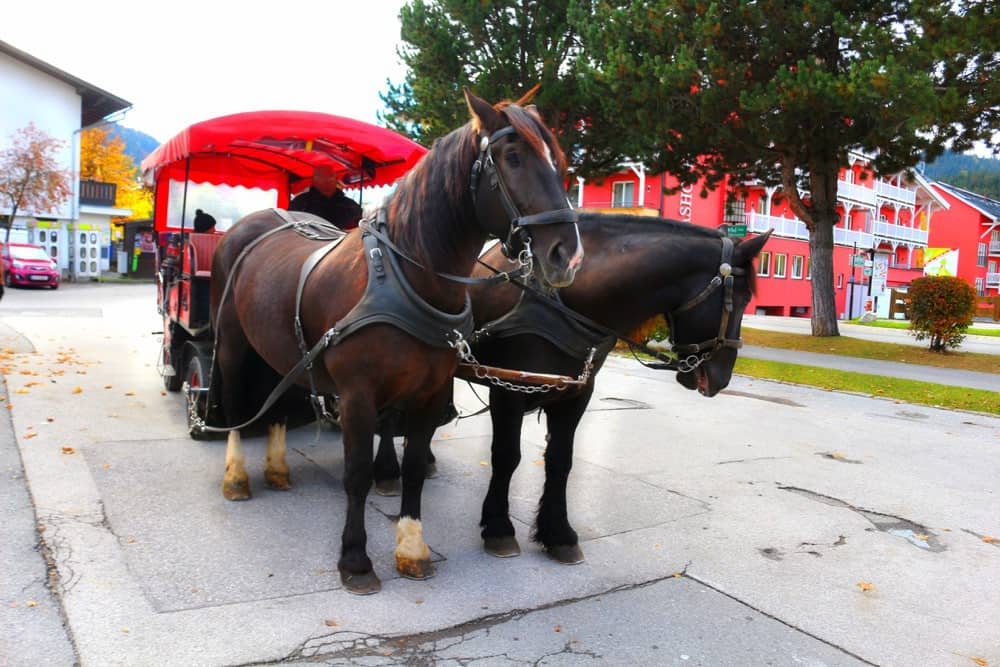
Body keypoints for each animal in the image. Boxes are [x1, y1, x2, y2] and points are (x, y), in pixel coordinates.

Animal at [212, 90, 584, 596]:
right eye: (512, 158)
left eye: (559, 162)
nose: (568, 255)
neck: (409, 275)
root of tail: (259, 222)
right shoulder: (357, 397)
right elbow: (357, 474)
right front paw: (355, 560)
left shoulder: (429, 393)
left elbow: (413, 470)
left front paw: (411, 547)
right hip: (231, 343)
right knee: (235, 403)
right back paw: (236, 476)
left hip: (282, 349)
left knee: (279, 400)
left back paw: (276, 468)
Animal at [372, 213, 768, 564]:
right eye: (739, 299)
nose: (721, 377)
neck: (561, 298)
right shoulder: (509, 390)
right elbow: (507, 456)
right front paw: (499, 528)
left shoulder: (576, 394)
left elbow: (561, 461)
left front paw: (558, 534)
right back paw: (387, 470)